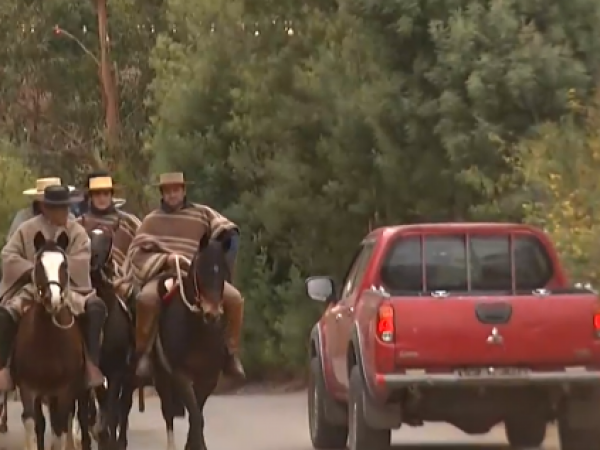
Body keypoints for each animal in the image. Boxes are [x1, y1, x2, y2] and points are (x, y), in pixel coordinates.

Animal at [12, 231, 90, 450]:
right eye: (39, 264)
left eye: (64, 265)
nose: (52, 299)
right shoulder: (29, 388)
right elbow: (33, 424)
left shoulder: (63, 391)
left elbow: (59, 428)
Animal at [153, 234, 230, 450]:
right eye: (200, 269)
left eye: (223, 270)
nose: (212, 314)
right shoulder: (181, 375)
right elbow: (195, 416)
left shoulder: (209, 377)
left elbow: (198, 414)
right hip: (162, 378)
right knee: (168, 414)